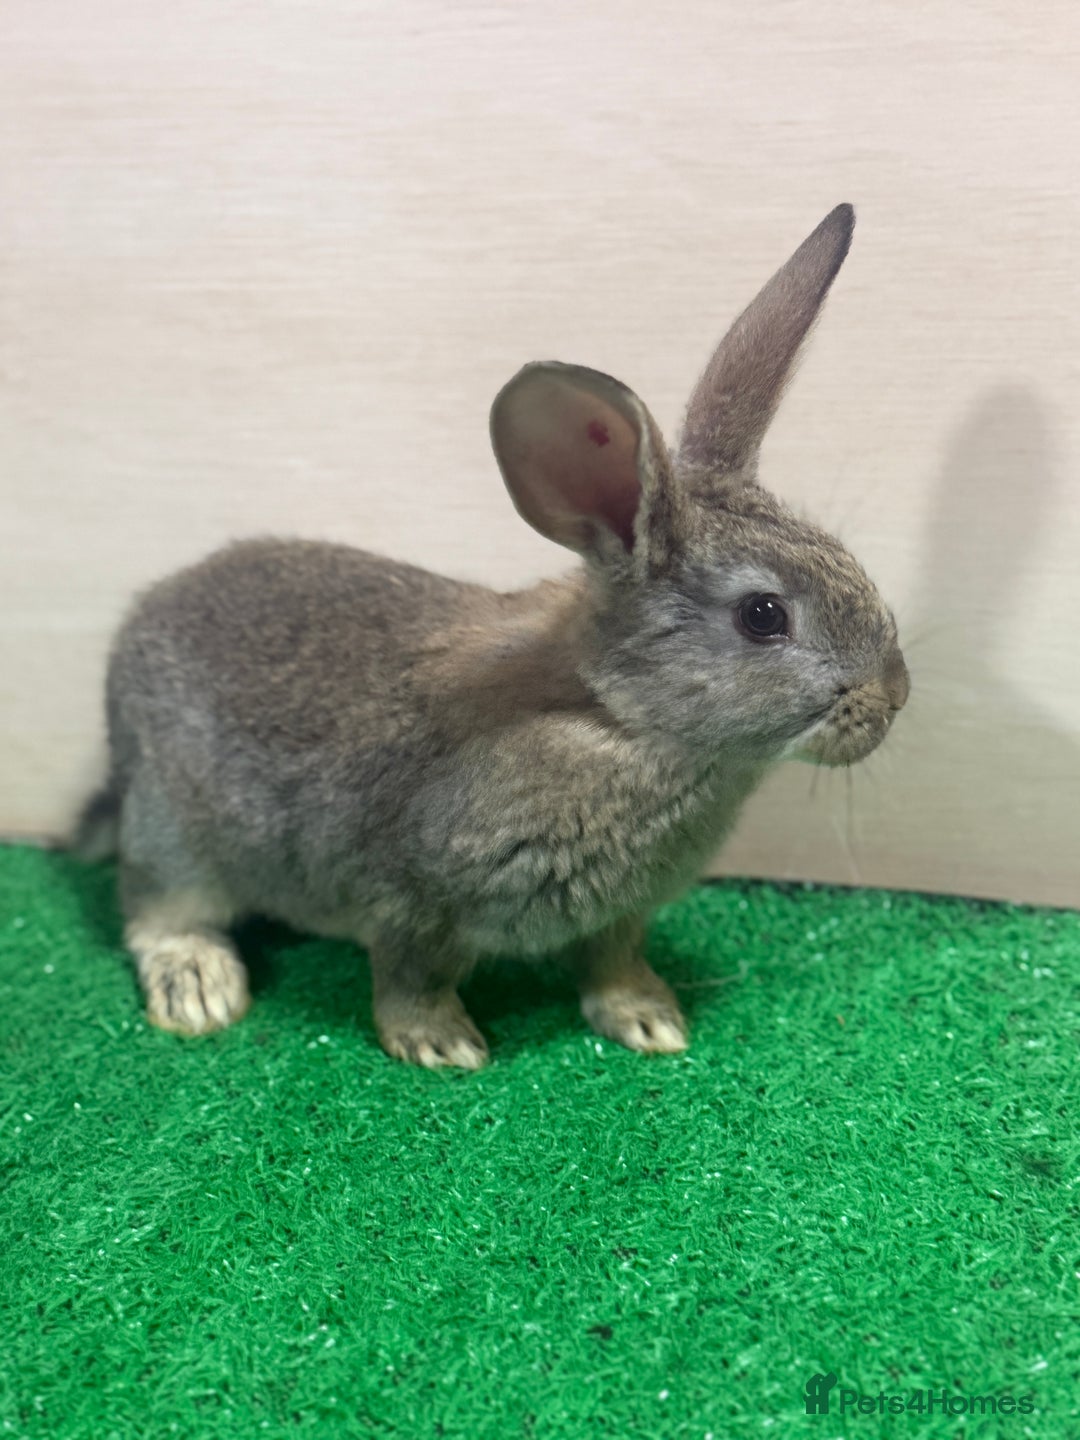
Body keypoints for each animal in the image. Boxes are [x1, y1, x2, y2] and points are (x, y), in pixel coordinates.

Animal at [75, 203, 908, 1069]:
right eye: (763, 616)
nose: (894, 698)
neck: (617, 719)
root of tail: (131, 639)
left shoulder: (619, 916)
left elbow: (613, 962)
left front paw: (650, 1022)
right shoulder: (413, 898)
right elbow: (410, 978)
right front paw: (441, 1046)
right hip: (176, 836)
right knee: (155, 910)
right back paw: (199, 991)